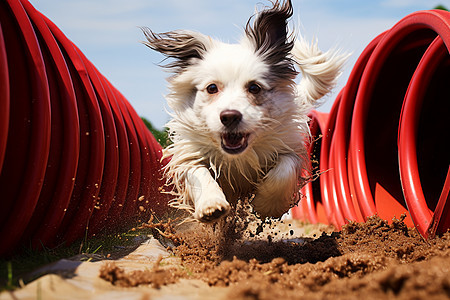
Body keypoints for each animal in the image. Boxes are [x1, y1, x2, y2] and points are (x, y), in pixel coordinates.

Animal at [142, 0, 346, 223]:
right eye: (212, 88)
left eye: (254, 87)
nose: (229, 116)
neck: (238, 157)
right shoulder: (190, 154)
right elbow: (199, 174)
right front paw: (211, 205)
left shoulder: (290, 147)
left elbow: (283, 171)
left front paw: (267, 205)